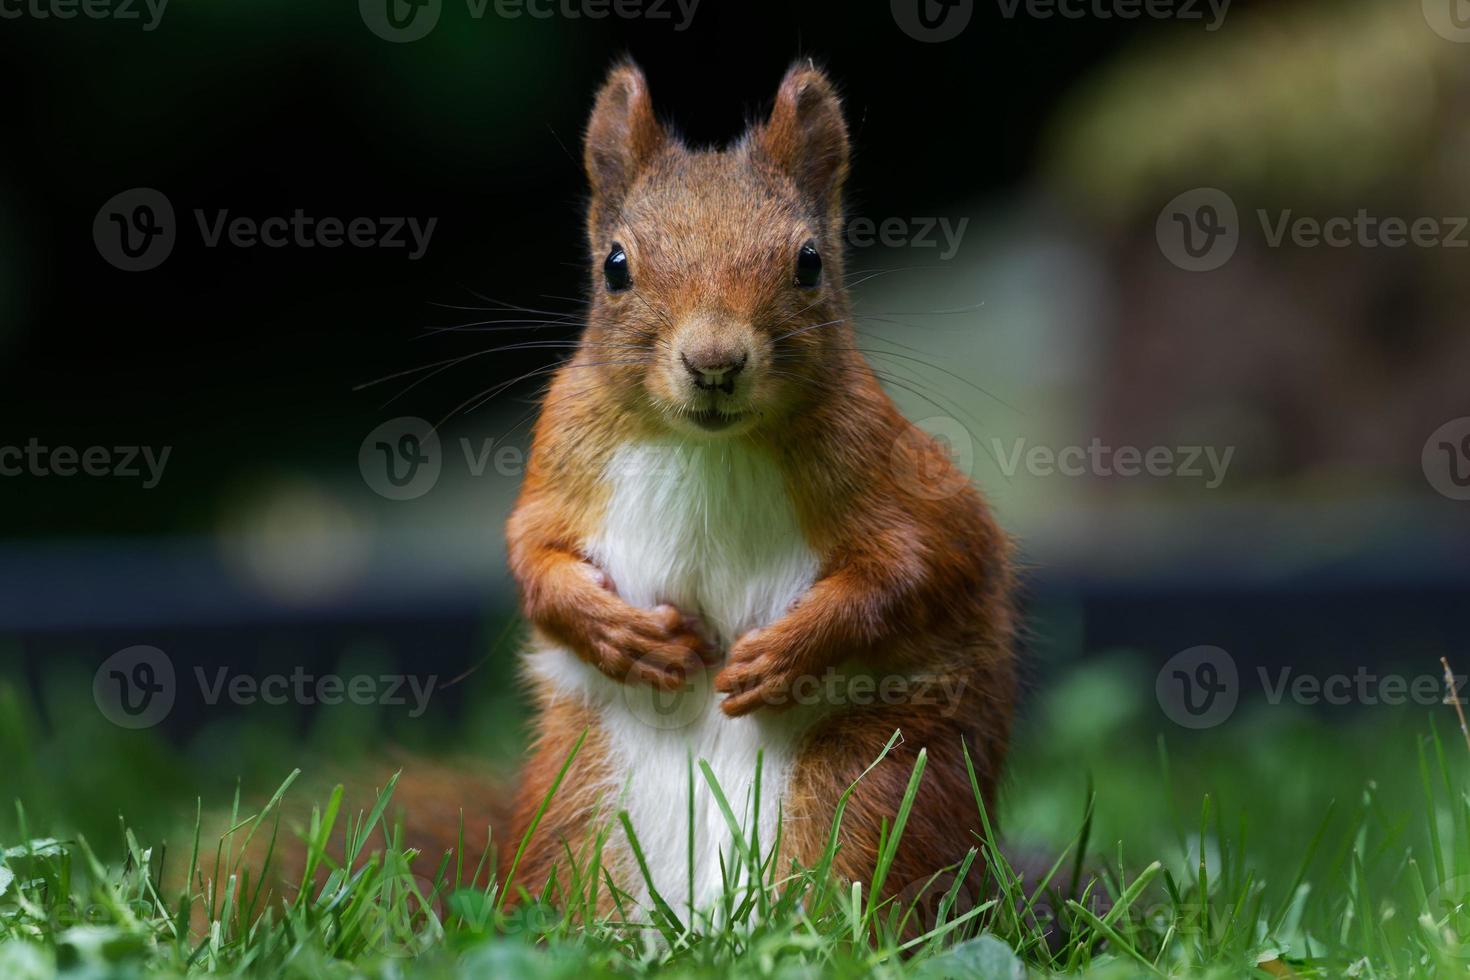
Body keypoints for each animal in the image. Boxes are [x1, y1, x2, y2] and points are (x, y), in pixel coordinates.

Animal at [488, 61, 1017, 922]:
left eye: (808, 262)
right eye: (615, 266)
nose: (714, 361)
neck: (709, 448)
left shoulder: (905, 480)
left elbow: (917, 568)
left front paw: (785, 654)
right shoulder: (559, 463)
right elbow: (533, 557)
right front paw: (618, 633)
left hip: (870, 786)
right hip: (572, 810)